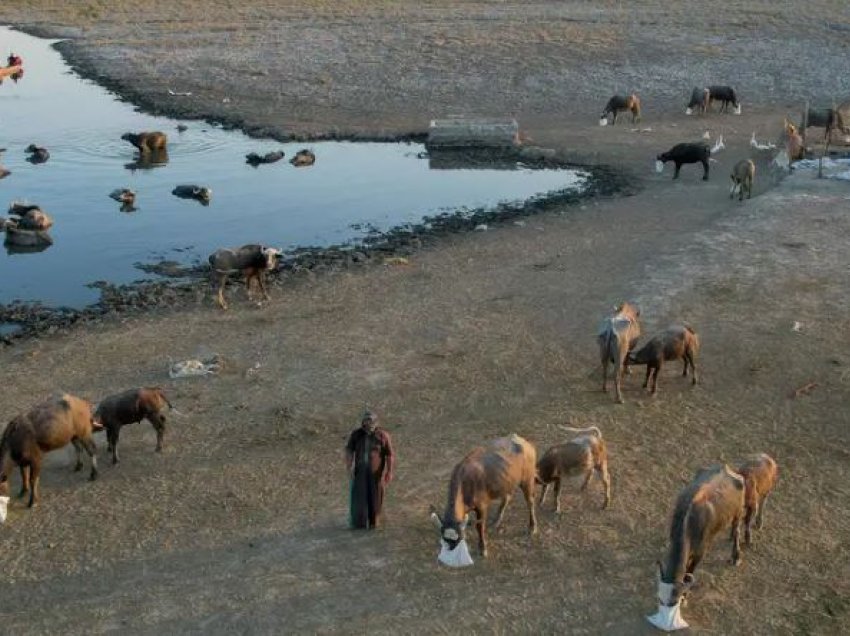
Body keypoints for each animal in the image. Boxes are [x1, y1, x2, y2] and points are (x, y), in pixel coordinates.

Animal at [656, 464, 744, 608]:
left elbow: (690, 571)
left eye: (674, 602)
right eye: (660, 599)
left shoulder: (700, 553)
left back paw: (736, 556)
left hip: (738, 512)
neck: (689, 522)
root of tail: (726, 468)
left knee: (737, 531)